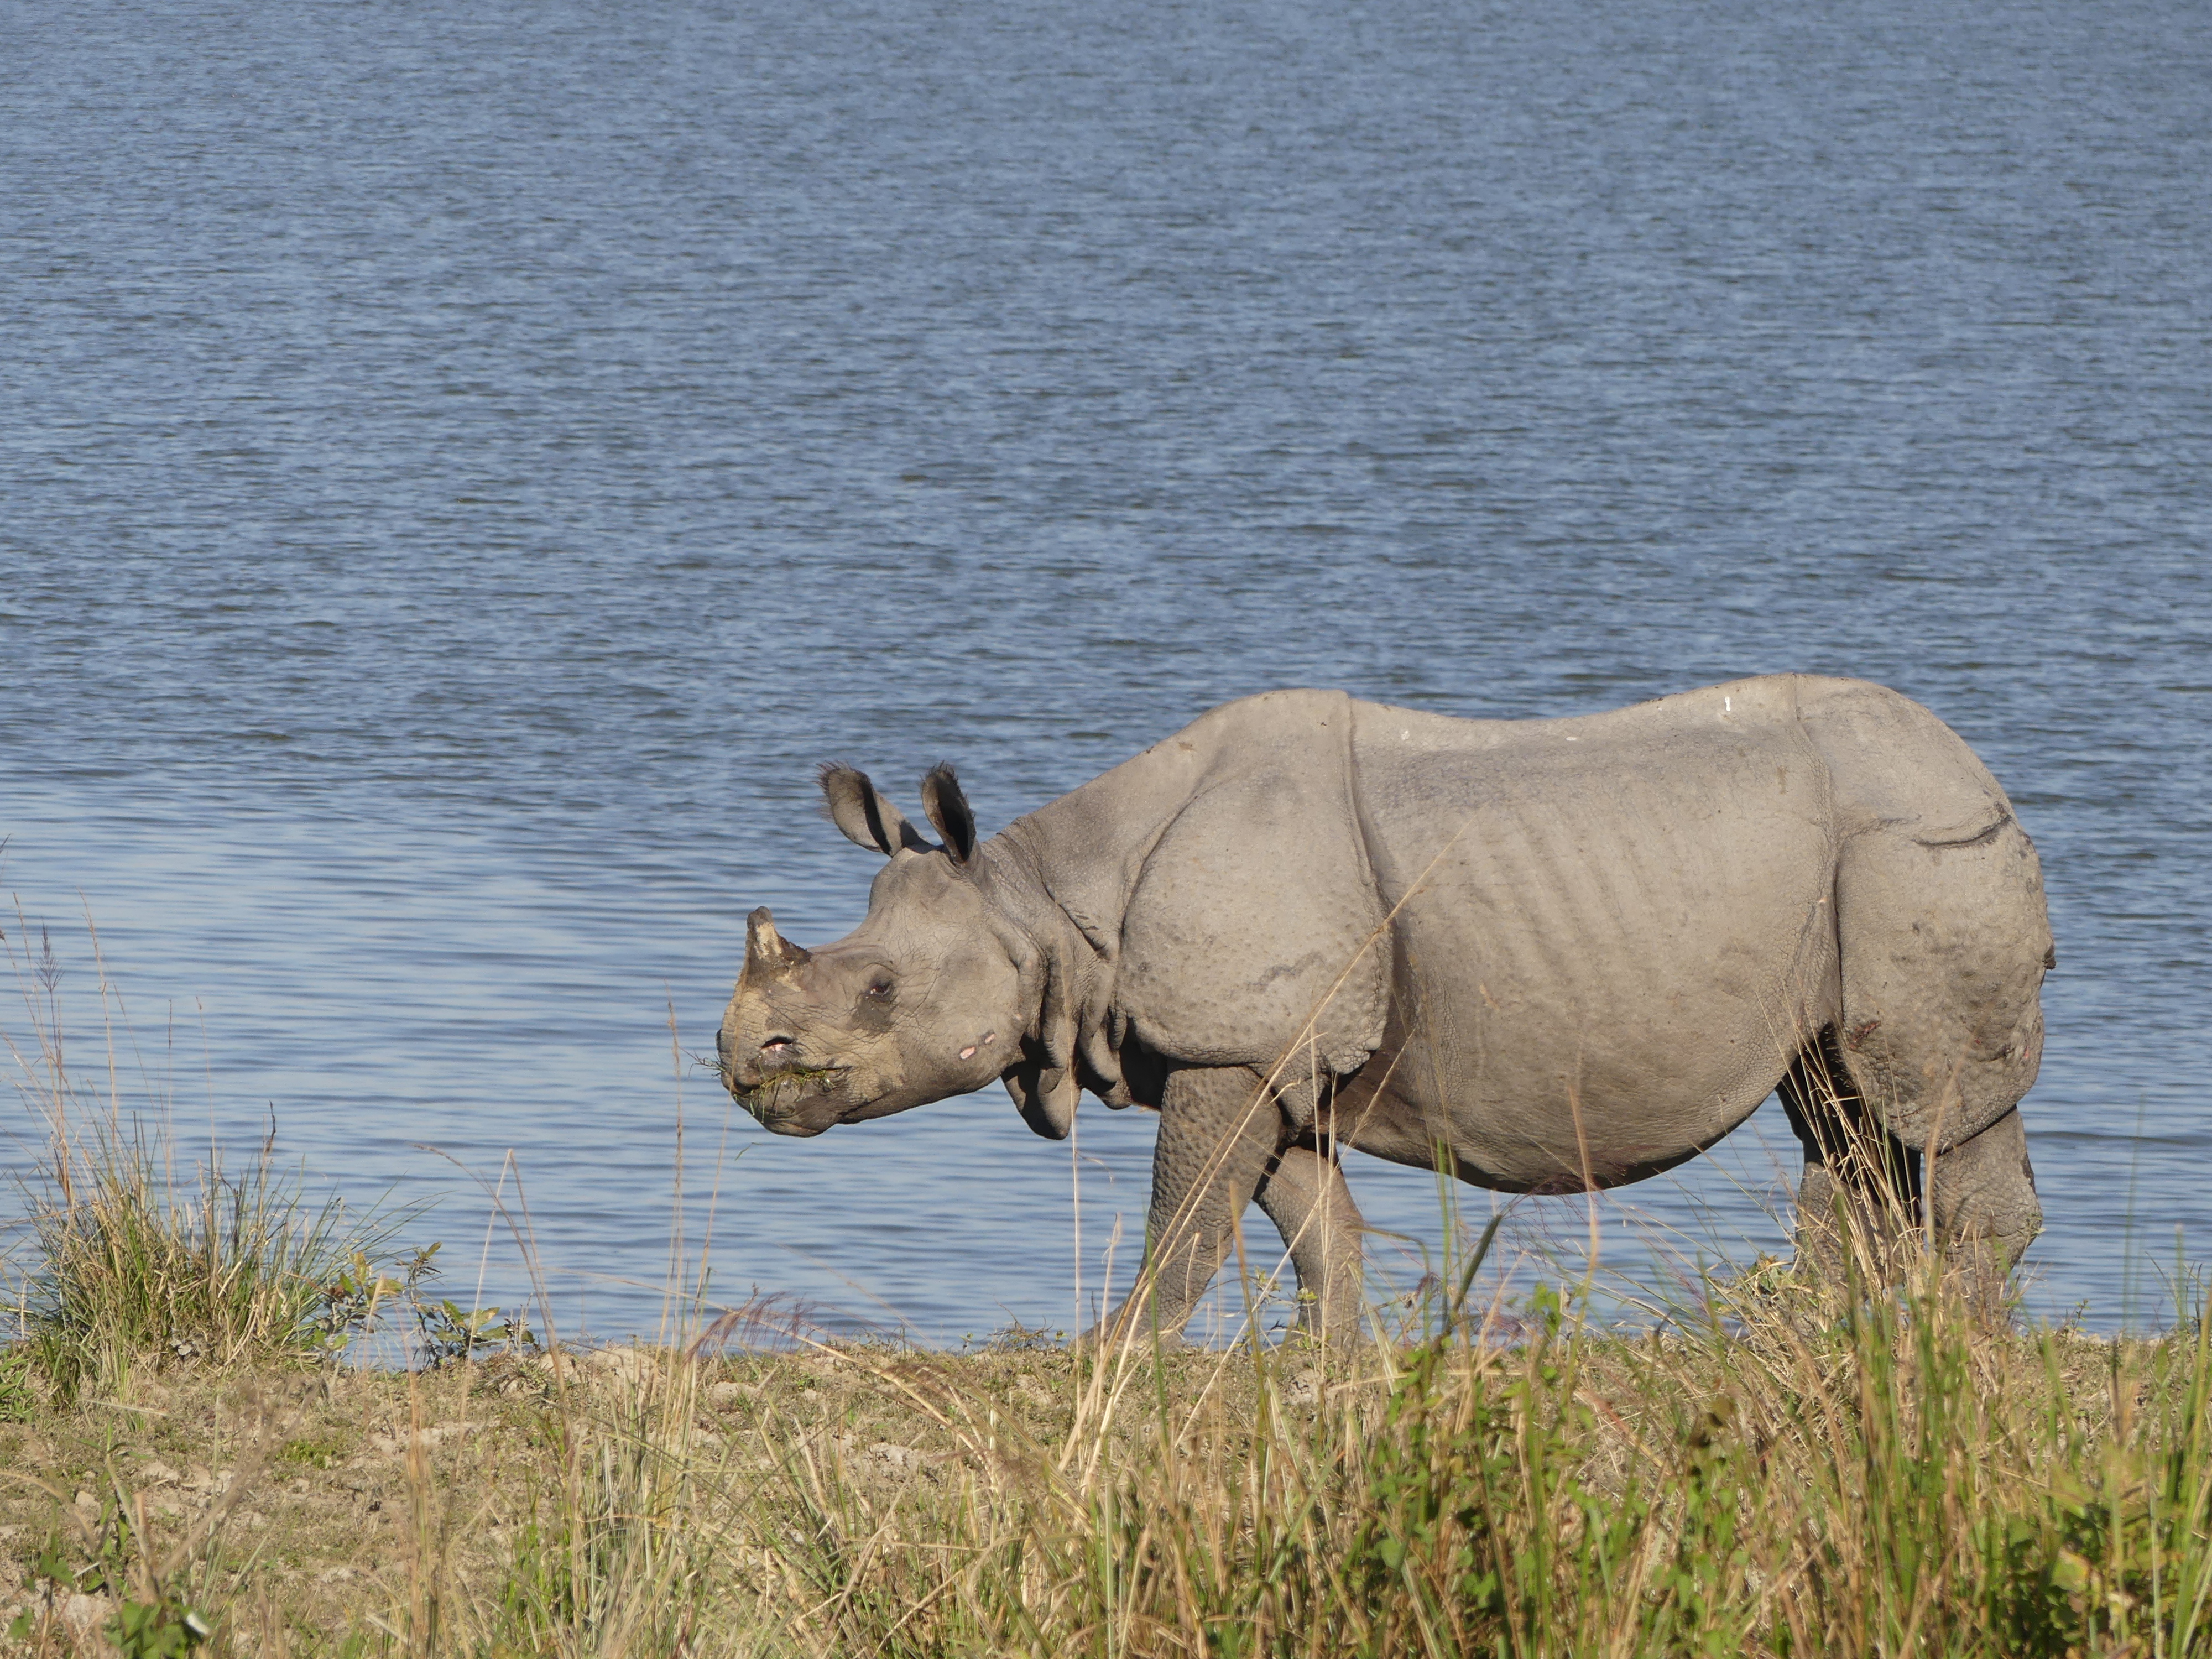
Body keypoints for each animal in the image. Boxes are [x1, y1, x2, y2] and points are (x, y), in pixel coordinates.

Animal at [719, 676, 2052, 1342]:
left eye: (880, 991)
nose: (743, 1064)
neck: (1043, 903)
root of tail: (1983, 770)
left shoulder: (1235, 1042)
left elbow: (1186, 1217)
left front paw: (1111, 1352)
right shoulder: (1271, 1051)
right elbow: (1314, 1228)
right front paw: (1334, 1366)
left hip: (1918, 851)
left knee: (1930, 1108)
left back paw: (1955, 1357)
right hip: (1851, 877)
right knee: (1841, 1111)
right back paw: (1833, 1341)